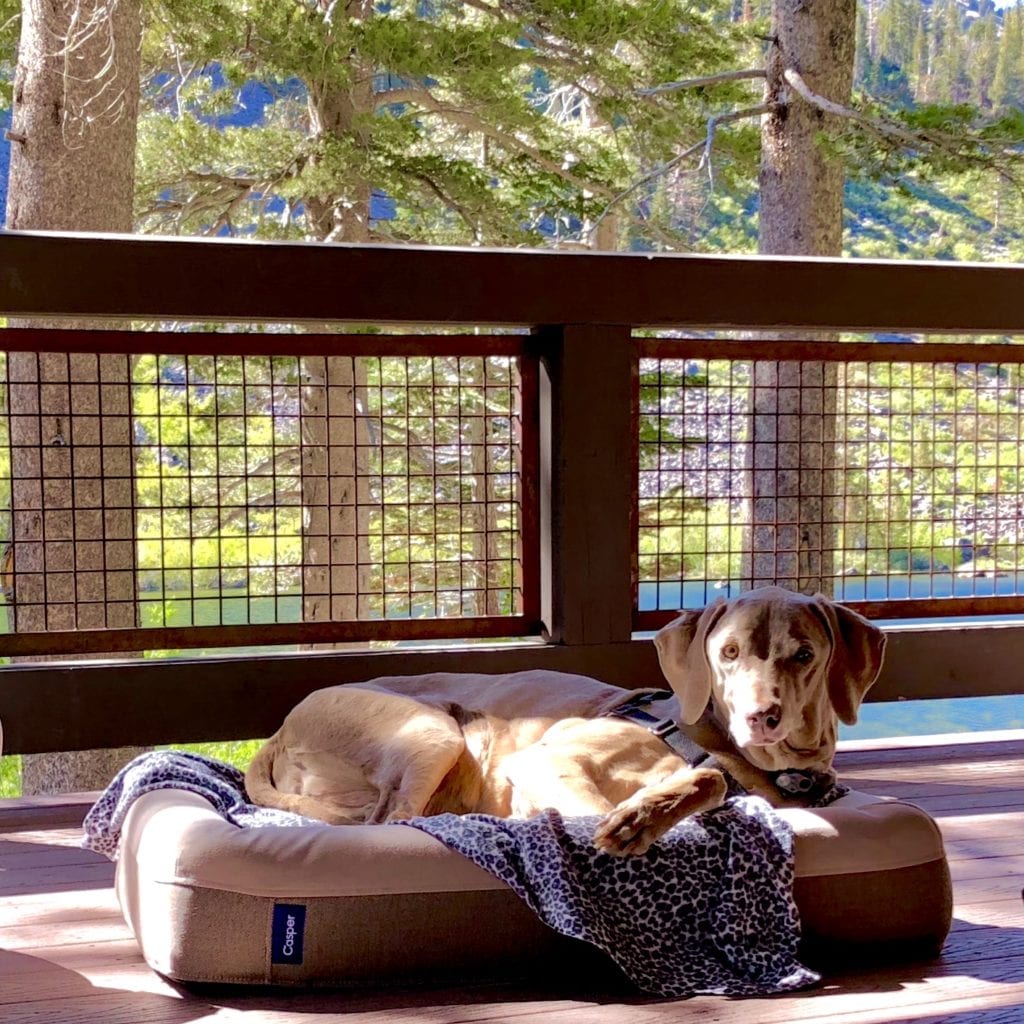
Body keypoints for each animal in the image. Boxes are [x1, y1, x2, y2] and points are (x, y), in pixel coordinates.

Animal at [243, 585, 884, 856]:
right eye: (727, 652)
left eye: (804, 654)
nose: (762, 717)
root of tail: (277, 735)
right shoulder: (545, 758)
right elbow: (687, 783)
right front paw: (633, 821)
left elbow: (709, 779)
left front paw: (649, 809)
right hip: (434, 730)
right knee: (392, 819)